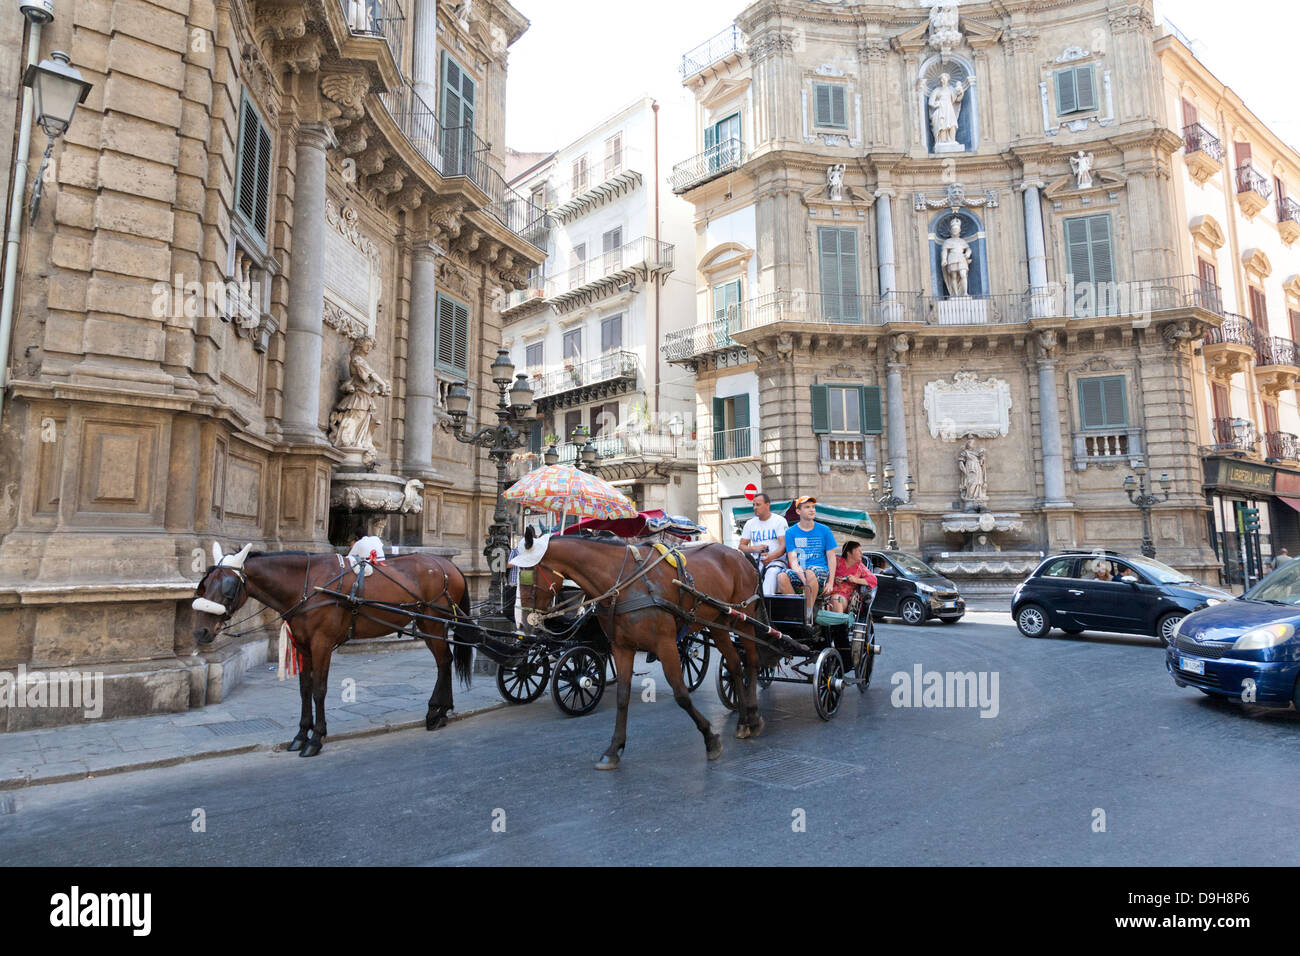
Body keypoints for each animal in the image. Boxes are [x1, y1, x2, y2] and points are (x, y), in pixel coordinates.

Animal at [189, 546, 475, 754]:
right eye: (204, 585)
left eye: (228, 588)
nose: (200, 631)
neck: (307, 587)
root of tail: (450, 566)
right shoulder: (303, 645)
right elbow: (304, 690)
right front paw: (301, 735)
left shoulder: (321, 644)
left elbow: (319, 690)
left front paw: (316, 738)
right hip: (431, 625)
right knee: (445, 660)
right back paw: (441, 710)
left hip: (433, 622)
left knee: (443, 660)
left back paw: (437, 711)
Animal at [514, 528, 769, 775]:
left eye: (527, 574)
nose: (524, 624)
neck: (624, 583)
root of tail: (740, 554)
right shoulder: (622, 647)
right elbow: (622, 696)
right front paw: (614, 749)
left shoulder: (665, 644)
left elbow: (681, 694)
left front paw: (710, 738)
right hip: (719, 623)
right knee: (735, 665)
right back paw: (743, 720)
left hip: (745, 621)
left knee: (753, 662)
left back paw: (753, 716)